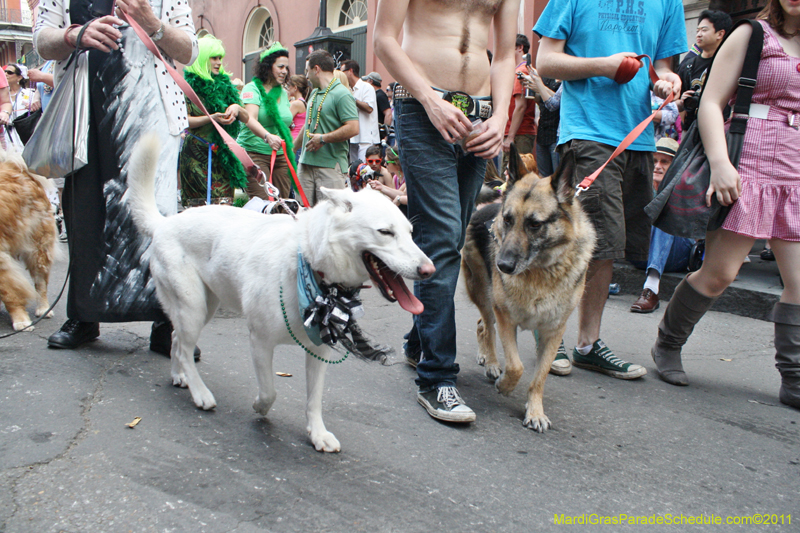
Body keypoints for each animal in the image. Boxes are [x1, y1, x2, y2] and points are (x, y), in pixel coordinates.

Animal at [127, 135, 434, 450]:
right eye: (385, 232)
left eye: (411, 233)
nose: (429, 270)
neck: (309, 265)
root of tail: (165, 222)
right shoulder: (260, 342)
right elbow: (269, 392)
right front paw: (260, 408)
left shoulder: (319, 351)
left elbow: (314, 400)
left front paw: (317, 433)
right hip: (193, 307)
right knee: (185, 348)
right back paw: (200, 392)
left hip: (204, 307)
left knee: (177, 340)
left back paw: (180, 376)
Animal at [462, 145, 592, 432]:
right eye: (508, 220)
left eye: (535, 224)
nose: (502, 266)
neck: (540, 272)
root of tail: (481, 210)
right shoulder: (505, 319)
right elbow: (516, 367)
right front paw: (505, 385)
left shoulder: (553, 332)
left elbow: (539, 378)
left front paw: (535, 411)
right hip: (485, 295)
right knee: (486, 326)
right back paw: (491, 363)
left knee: (481, 324)